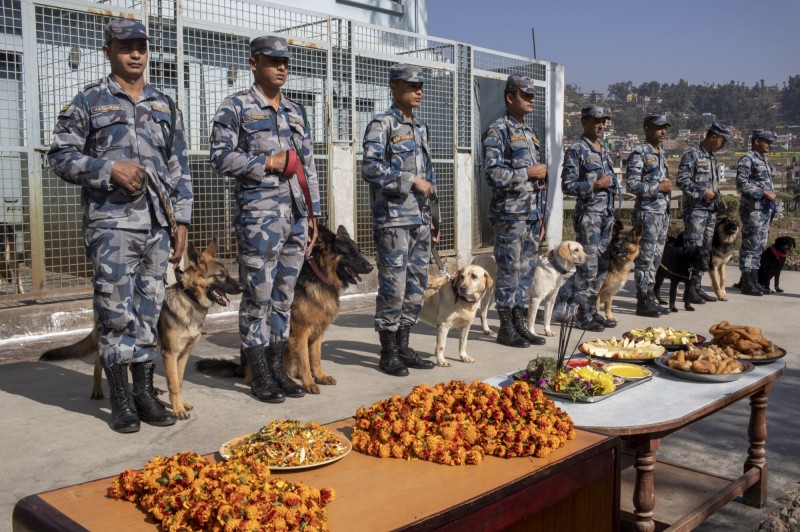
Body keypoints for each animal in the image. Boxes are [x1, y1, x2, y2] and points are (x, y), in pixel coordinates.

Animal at [40, 238, 239, 420]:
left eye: (226, 273)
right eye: (220, 275)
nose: (243, 286)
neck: (189, 298)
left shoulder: (184, 353)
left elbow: (179, 380)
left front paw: (181, 403)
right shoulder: (170, 354)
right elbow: (173, 384)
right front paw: (178, 410)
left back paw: (151, 391)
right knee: (99, 362)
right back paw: (97, 390)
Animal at [198, 224, 376, 394]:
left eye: (359, 252)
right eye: (349, 253)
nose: (371, 267)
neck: (319, 276)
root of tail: (241, 367)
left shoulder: (318, 331)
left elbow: (316, 356)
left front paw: (320, 376)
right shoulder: (301, 332)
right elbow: (305, 360)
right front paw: (309, 383)